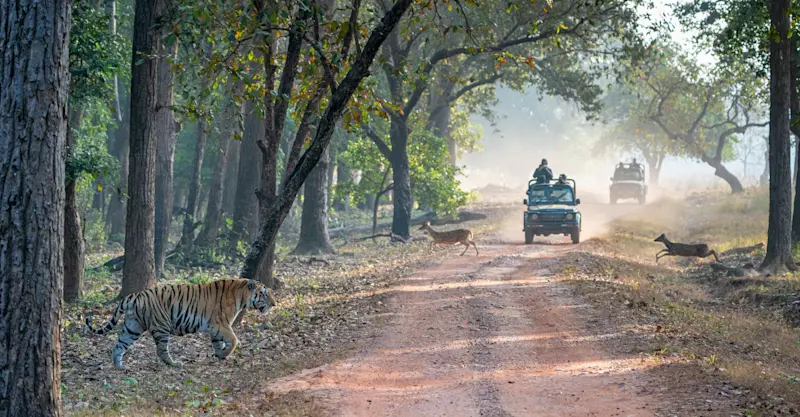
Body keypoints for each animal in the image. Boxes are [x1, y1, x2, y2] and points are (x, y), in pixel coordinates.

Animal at [85, 279, 277, 370]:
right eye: (265, 294)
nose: (275, 304)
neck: (242, 296)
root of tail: (134, 296)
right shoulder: (220, 324)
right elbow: (234, 340)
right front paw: (225, 354)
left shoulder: (215, 328)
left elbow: (218, 343)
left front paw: (219, 355)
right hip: (161, 326)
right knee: (161, 350)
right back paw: (174, 363)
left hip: (133, 327)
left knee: (118, 346)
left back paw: (120, 366)